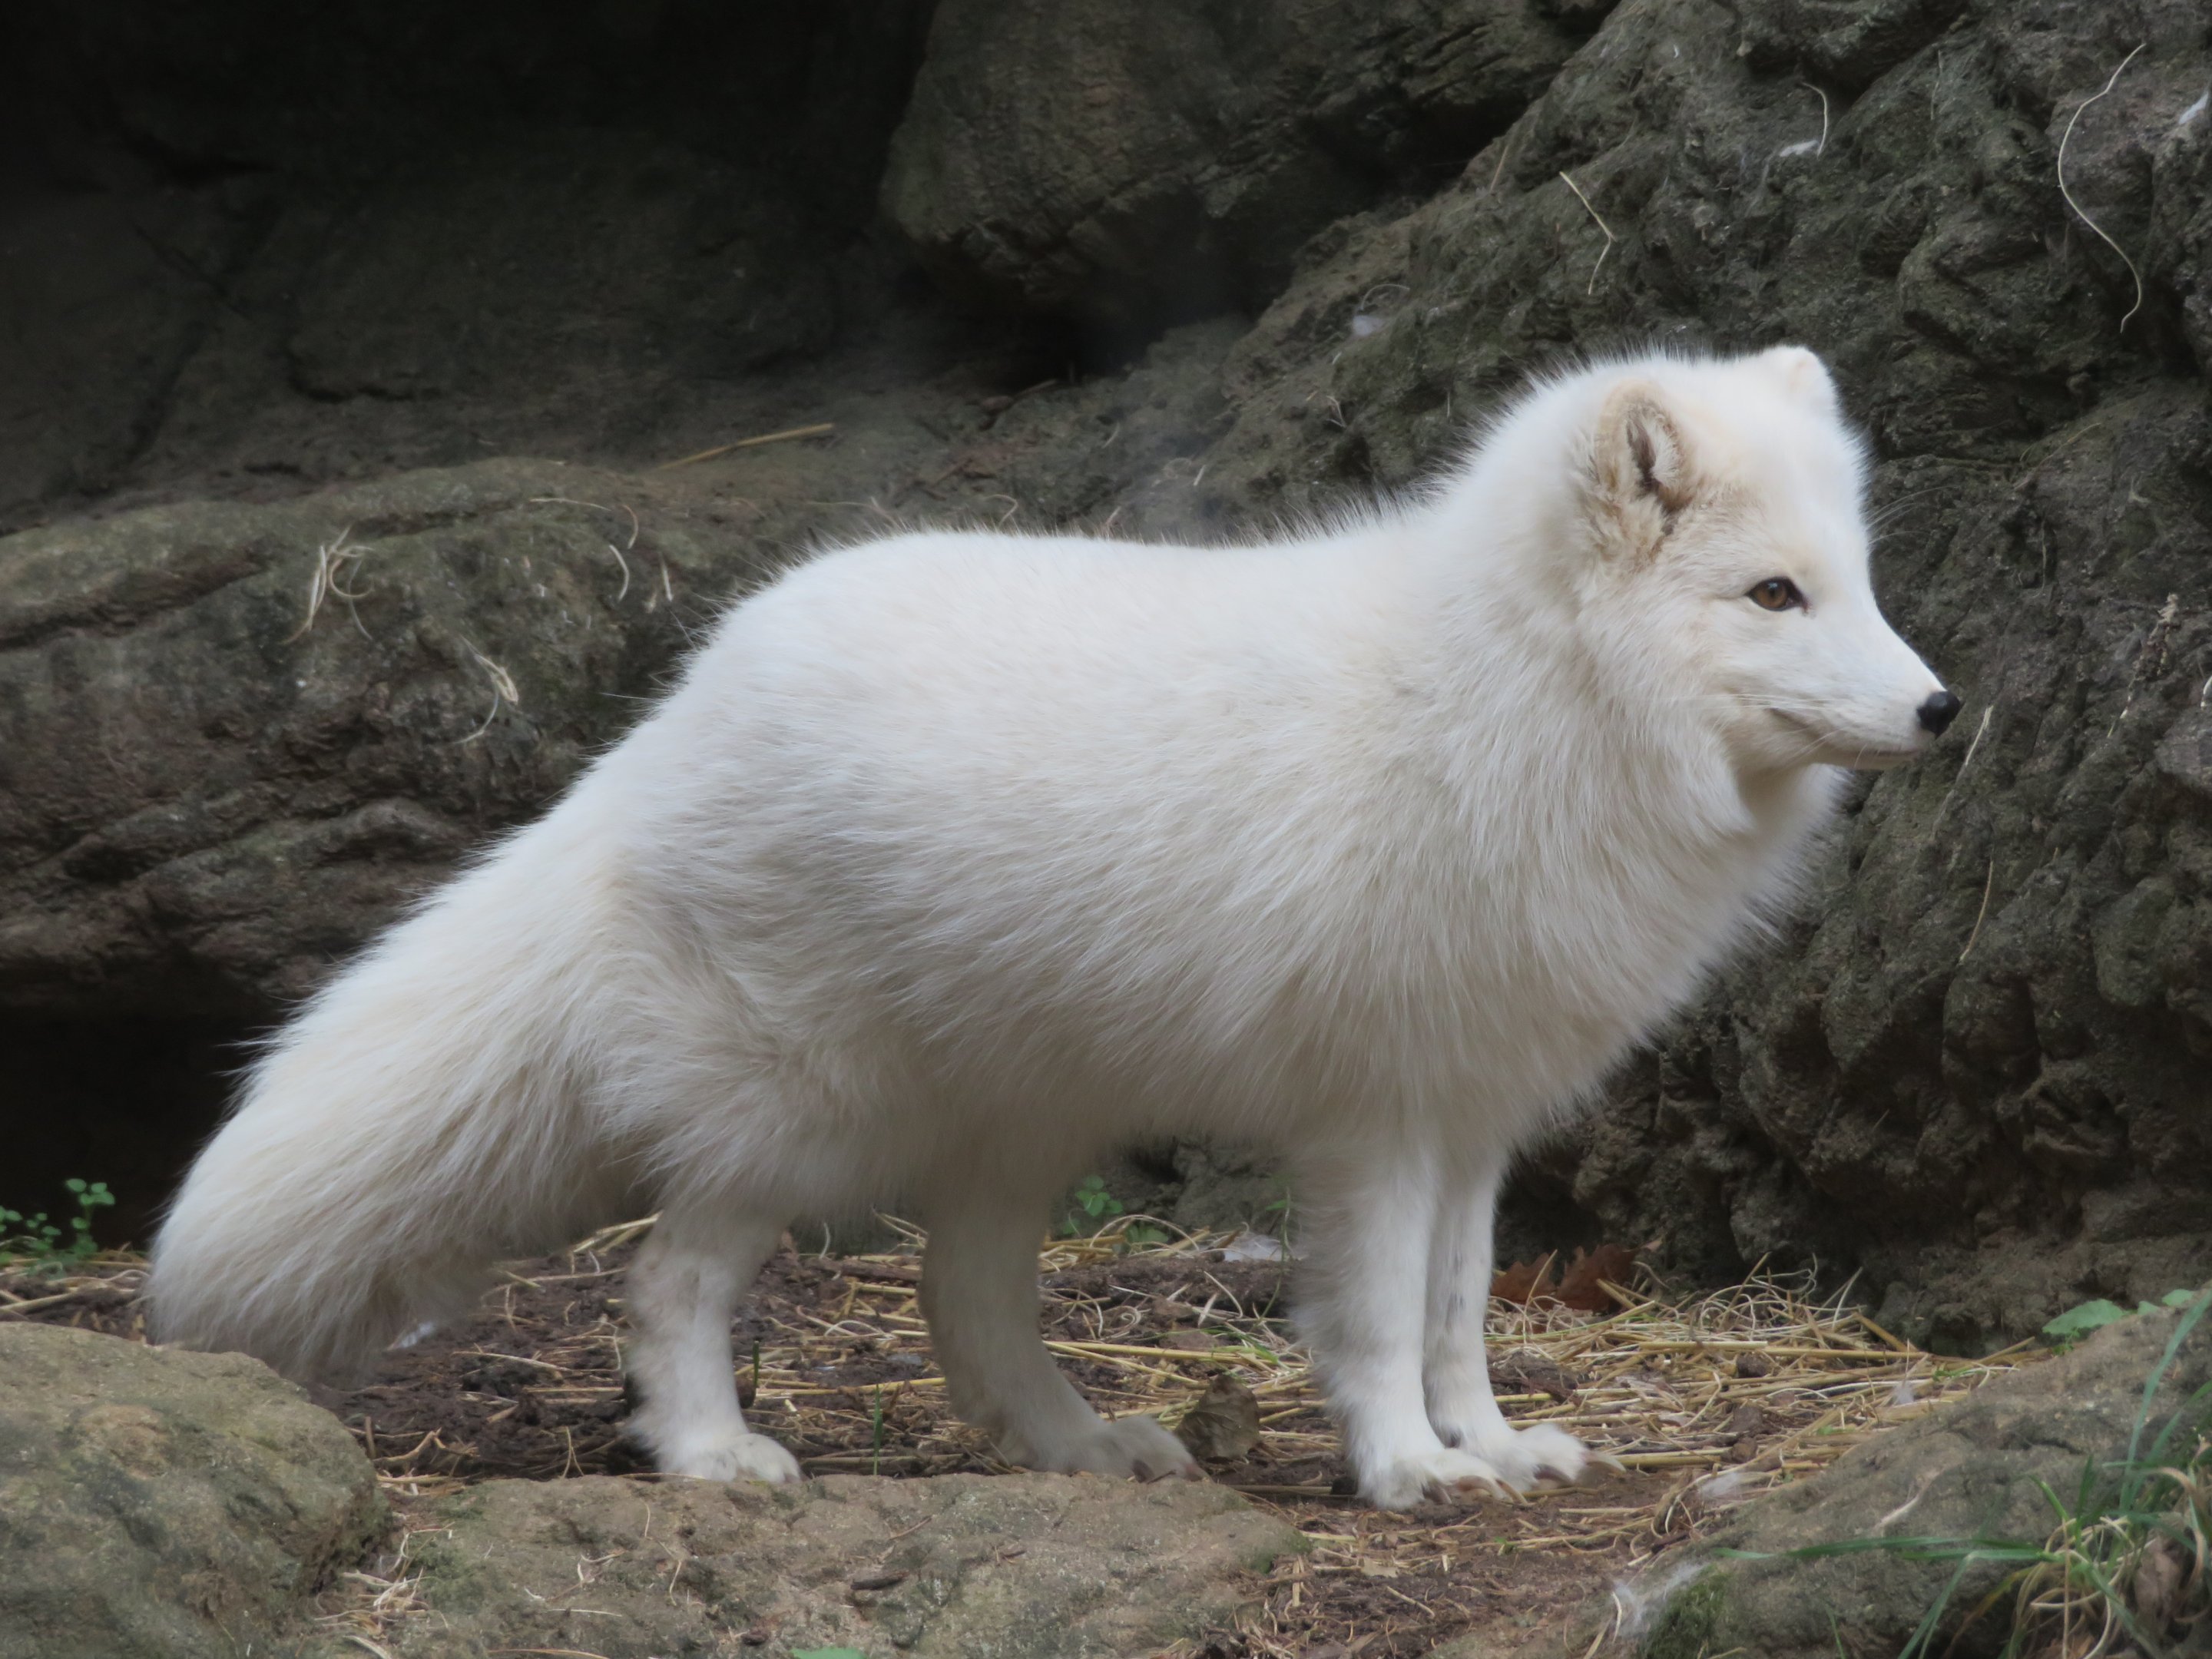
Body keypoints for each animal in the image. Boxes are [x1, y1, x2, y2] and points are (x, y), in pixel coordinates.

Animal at [148, 345, 1958, 1510]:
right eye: (1773, 596)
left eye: (1859, 581)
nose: (1942, 711)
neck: (1516, 702)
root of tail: (666, 723)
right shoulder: (1375, 1119)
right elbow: (1376, 1320)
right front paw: (1401, 1471)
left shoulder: (1473, 1114)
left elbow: (1459, 1318)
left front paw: (1487, 1447)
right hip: (808, 1116)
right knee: (666, 1284)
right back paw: (713, 1458)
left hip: (1019, 1122)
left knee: (960, 1303)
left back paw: (1082, 1450)